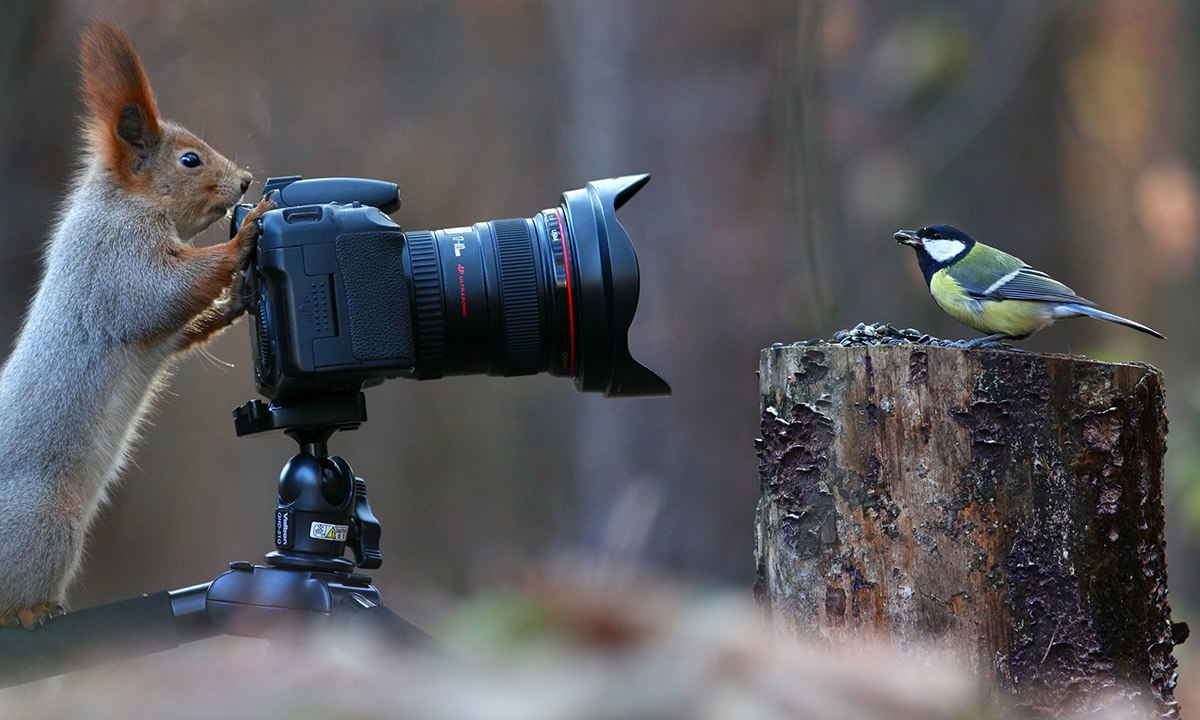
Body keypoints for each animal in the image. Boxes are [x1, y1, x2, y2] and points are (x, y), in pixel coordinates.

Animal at [0, 19, 274, 629]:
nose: (246, 181)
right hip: (43, 524)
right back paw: (31, 612)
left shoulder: (161, 335)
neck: (126, 202)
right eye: (190, 161)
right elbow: (161, 294)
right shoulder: (117, 261)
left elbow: (180, 326)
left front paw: (242, 294)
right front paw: (247, 235)